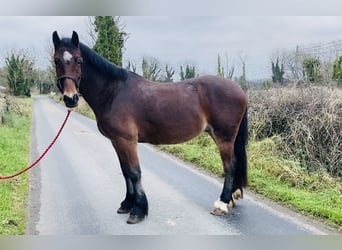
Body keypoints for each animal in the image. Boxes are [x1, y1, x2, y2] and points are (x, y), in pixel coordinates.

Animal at [52, 30, 247, 225]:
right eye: (56, 60)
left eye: (79, 60)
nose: (70, 98)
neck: (114, 93)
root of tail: (239, 89)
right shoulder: (116, 141)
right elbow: (125, 172)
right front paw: (127, 203)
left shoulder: (127, 140)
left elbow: (134, 172)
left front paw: (138, 210)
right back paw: (230, 199)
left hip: (224, 137)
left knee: (230, 166)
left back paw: (222, 203)